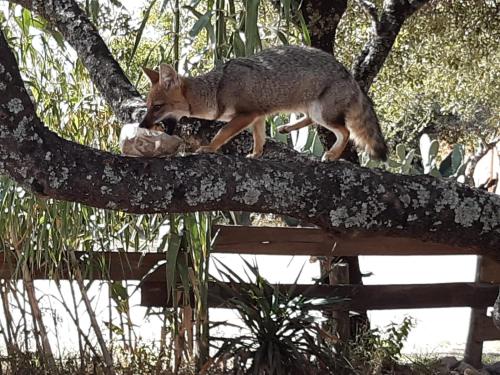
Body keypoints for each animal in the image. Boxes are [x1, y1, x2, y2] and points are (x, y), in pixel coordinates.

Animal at [139, 44, 388, 161]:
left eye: (157, 107)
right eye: (147, 106)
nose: (142, 125)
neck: (216, 89)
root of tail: (349, 74)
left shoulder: (246, 115)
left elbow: (222, 133)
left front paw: (209, 148)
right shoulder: (257, 116)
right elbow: (259, 138)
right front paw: (256, 154)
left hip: (322, 114)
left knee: (345, 132)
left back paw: (333, 155)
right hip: (311, 109)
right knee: (312, 121)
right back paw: (287, 127)